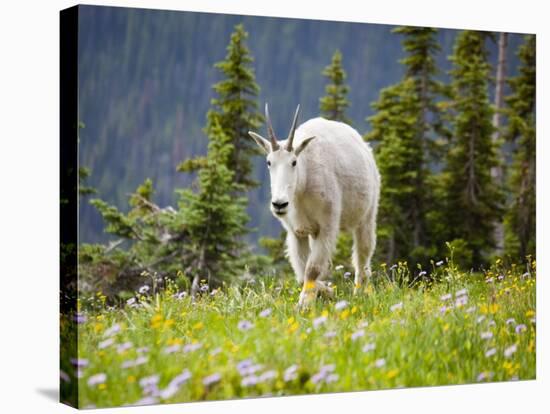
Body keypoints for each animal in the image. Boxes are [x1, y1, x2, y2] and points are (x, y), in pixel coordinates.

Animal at [249, 105, 380, 306]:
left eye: (294, 162)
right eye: (269, 162)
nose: (279, 204)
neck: (301, 187)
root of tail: (364, 147)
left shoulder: (327, 225)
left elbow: (312, 269)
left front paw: (304, 304)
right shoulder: (297, 232)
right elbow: (303, 272)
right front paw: (325, 292)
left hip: (367, 214)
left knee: (363, 254)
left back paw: (360, 292)